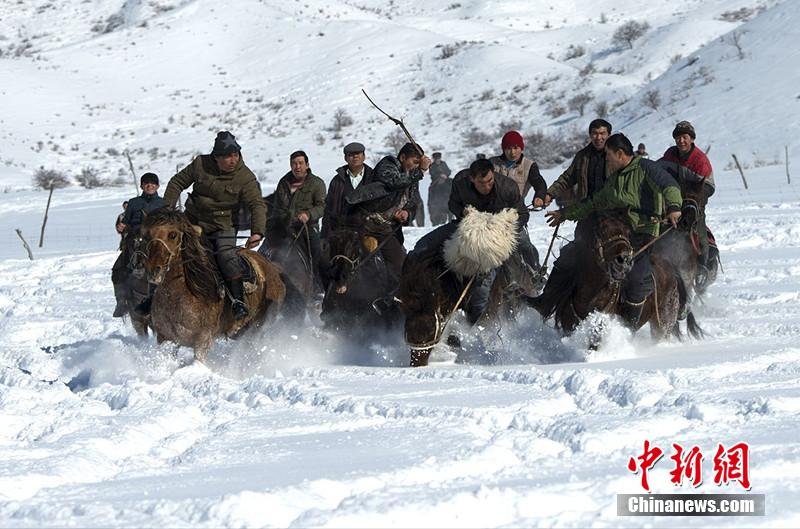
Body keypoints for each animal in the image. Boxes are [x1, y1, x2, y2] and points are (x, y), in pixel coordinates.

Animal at [141, 208, 288, 360]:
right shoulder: (165, 339)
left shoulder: (203, 341)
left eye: (173, 235)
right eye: (146, 235)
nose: (154, 271)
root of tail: (274, 269)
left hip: (257, 328)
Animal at [536, 213, 700, 342]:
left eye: (627, 233)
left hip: (663, 323)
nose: (624, 259)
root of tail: (672, 270)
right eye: (602, 231)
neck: (590, 294)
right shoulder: (568, 326)